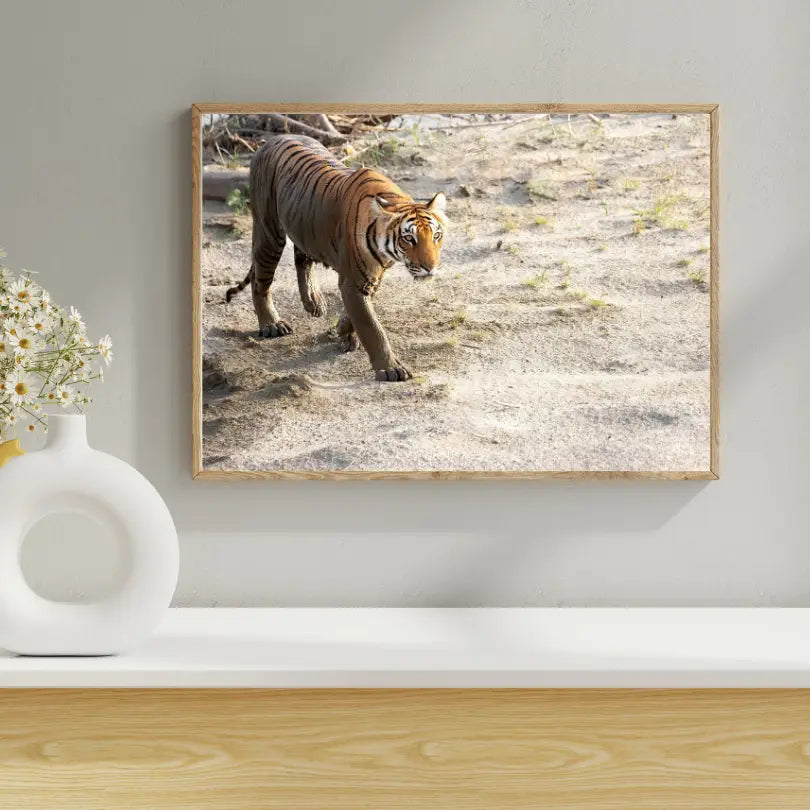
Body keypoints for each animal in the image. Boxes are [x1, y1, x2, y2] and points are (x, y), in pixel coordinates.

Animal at [225, 134, 447, 382]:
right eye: (409, 238)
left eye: (436, 235)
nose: (430, 267)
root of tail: (272, 139)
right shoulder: (354, 280)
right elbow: (371, 326)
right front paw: (391, 369)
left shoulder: (371, 277)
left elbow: (357, 315)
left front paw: (342, 332)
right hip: (269, 232)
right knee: (260, 281)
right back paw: (271, 324)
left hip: (304, 223)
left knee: (301, 258)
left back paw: (314, 302)